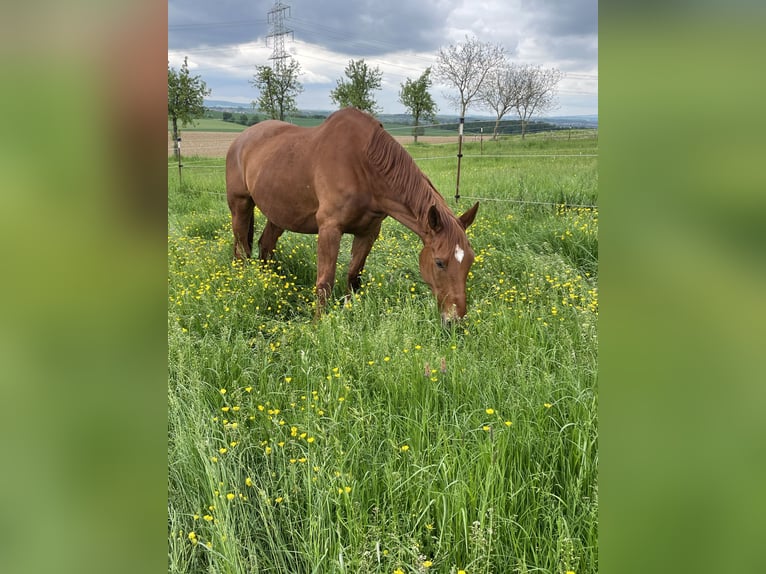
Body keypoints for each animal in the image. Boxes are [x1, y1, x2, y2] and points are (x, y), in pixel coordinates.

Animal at [225, 108, 484, 324]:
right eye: (439, 262)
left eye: (470, 260)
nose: (456, 321)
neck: (363, 165)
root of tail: (241, 139)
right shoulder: (329, 229)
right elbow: (325, 282)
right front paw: (318, 324)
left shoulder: (368, 232)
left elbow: (353, 275)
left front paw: (350, 311)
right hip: (240, 205)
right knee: (241, 250)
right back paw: (244, 284)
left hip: (280, 214)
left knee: (265, 245)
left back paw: (267, 282)